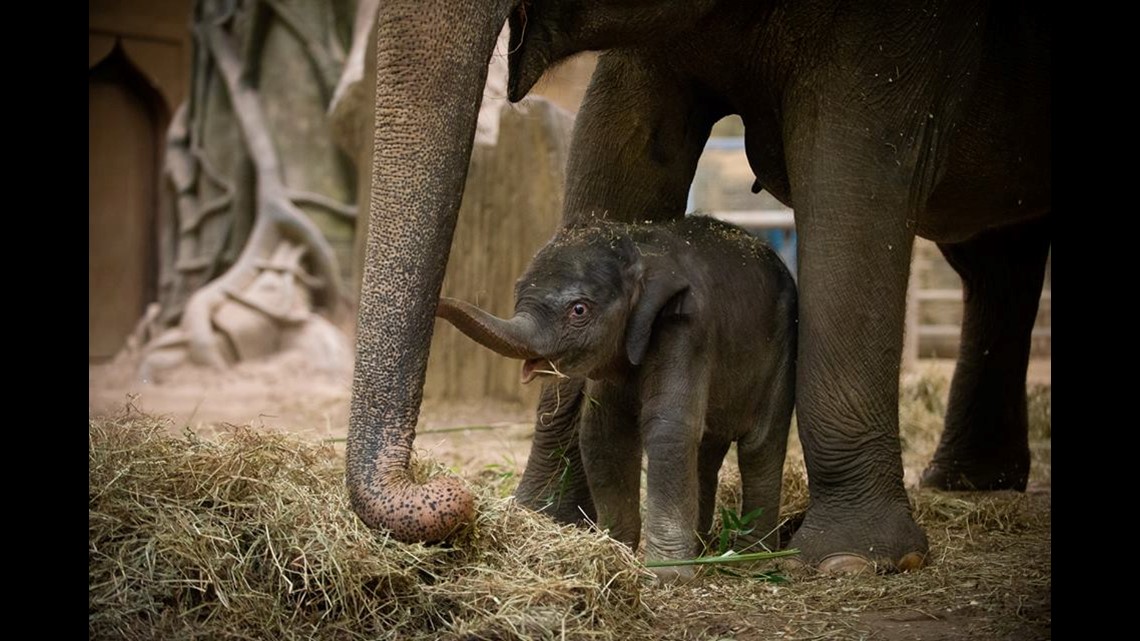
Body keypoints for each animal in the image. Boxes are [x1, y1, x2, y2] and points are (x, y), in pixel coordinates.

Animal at [435, 215, 798, 580]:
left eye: (579, 310)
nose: (436, 303)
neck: (641, 250)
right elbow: (604, 432)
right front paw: (615, 548)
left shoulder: (688, 330)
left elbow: (668, 429)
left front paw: (667, 575)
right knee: (707, 448)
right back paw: (703, 547)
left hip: (784, 346)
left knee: (760, 445)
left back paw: (751, 559)